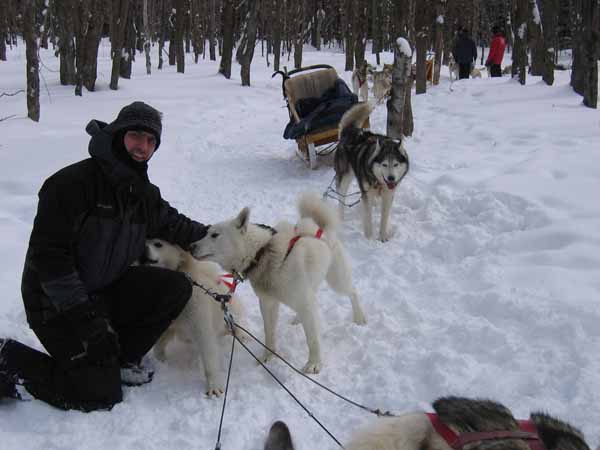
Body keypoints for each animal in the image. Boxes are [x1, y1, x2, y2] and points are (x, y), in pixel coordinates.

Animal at [141, 237, 244, 396]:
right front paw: (161, 361)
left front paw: (213, 387)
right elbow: (158, 347)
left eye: (158, 244)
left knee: (234, 327)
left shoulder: (202, 328)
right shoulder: (167, 327)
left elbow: (209, 359)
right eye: (145, 239)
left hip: (227, 318)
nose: (142, 248)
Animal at [189, 192, 366, 372]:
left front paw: (314, 363)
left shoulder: (303, 302)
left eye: (214, 235)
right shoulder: (268, 303)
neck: (262, 254)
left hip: (337, 280)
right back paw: (298, 318)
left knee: (352, 292)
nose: (190, 246)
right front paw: (268, 356)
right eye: (207, 232)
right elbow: (269, 333)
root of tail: (319, 228)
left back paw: (359, 318)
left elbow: (312, 338)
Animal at [336, 102, 410, 243]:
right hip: (345, 177)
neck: (379, 183)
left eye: (396, 164)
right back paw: (340, 218)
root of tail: (349, 130)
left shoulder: (388, 195)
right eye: (384, 164)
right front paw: (369, 239)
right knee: (341, 198)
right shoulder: (367, 196)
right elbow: (368, 217)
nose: (391, 178)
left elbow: (384, 217)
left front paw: (383, 237)